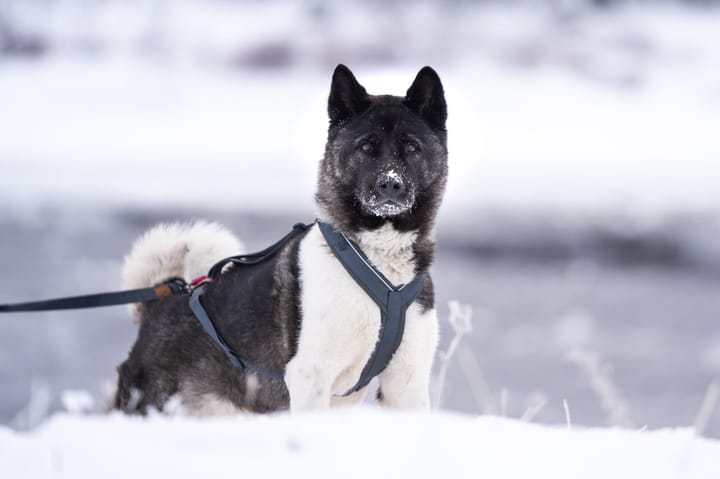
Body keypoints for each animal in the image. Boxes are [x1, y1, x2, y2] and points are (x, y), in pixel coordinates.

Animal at [113, 64, 448, 416]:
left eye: (411, 147)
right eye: (366, 147)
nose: (390, 185)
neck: (375, 258)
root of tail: (156, 306)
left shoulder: (406, 385)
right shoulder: (311, 377)